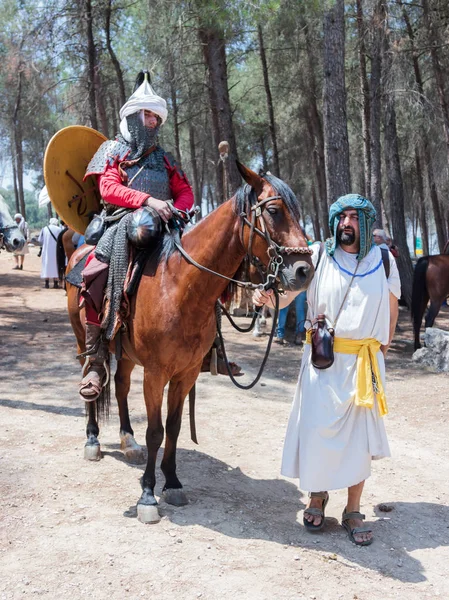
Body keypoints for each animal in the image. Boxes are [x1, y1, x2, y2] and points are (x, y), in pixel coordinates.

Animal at [66, 163, 314, 520]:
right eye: (273, 210)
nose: (305, 271)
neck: (180, 286)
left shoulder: (187, 372)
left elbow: (173, 427)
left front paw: (171, 483)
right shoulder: (156, 373)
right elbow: (155, 431)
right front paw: (147, 495)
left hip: (126, 354)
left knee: (122, 387)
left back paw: (128, 441)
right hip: (82, 337)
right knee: (92, 373)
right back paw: (92, 439)